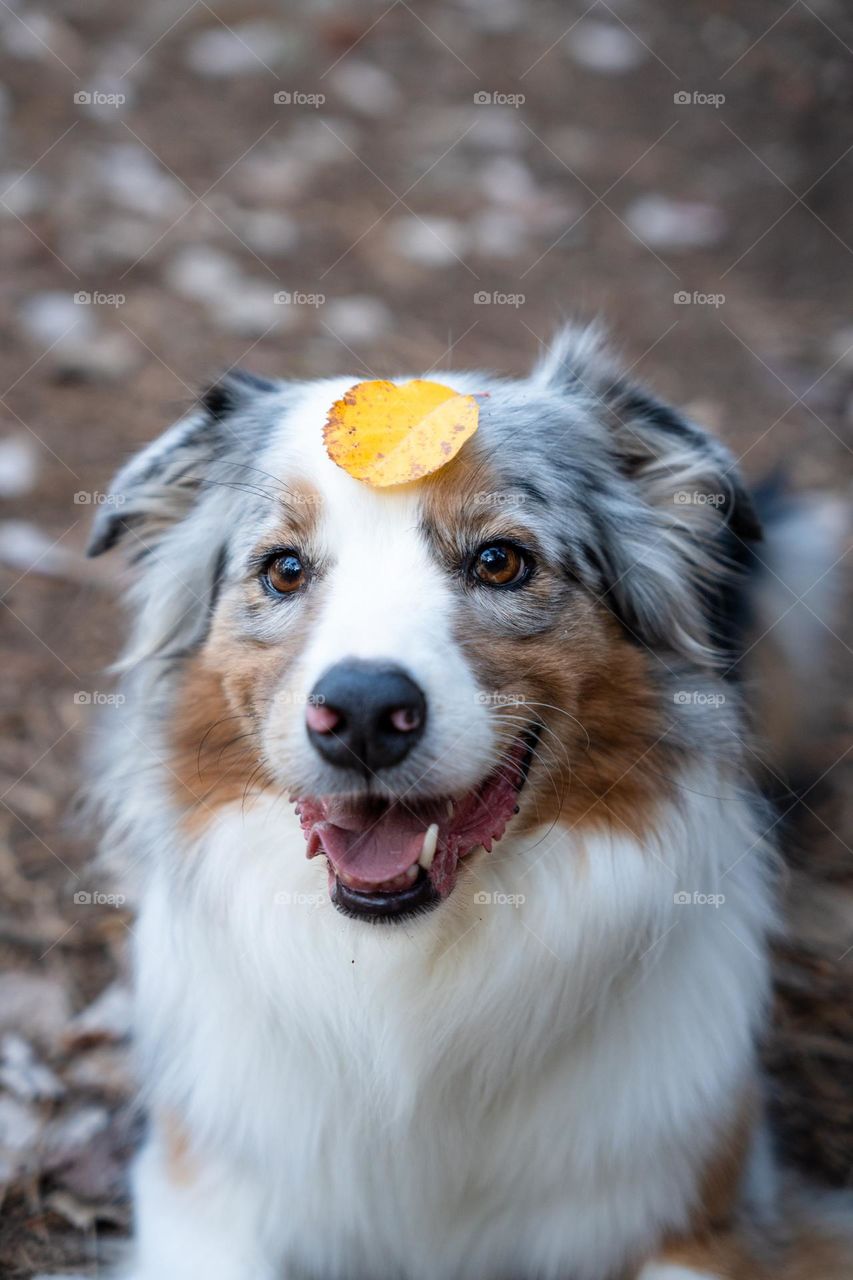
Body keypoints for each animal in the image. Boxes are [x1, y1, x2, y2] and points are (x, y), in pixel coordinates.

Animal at [87, 330, 850, 1280]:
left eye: (498, 561)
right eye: (285, 570)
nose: (363, 714)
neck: (405, 982)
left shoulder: (707, 1210)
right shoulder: (199, 1189)